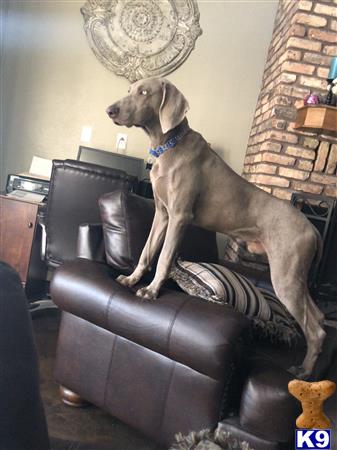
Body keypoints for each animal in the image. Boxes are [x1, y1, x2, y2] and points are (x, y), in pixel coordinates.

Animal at [106, 77, 324, 380]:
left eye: (144, 92)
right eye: (130, 90)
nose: (110, 110)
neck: (167, 145)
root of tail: (313, 229)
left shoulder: (180, 216)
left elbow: (164, 257)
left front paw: (151, 291)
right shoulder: (161, 214)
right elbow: (147, 252)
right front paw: (131, 279)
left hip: (286, 275)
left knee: (316, 329)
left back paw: (303, 372)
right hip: (296, 278)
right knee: (321, 317)